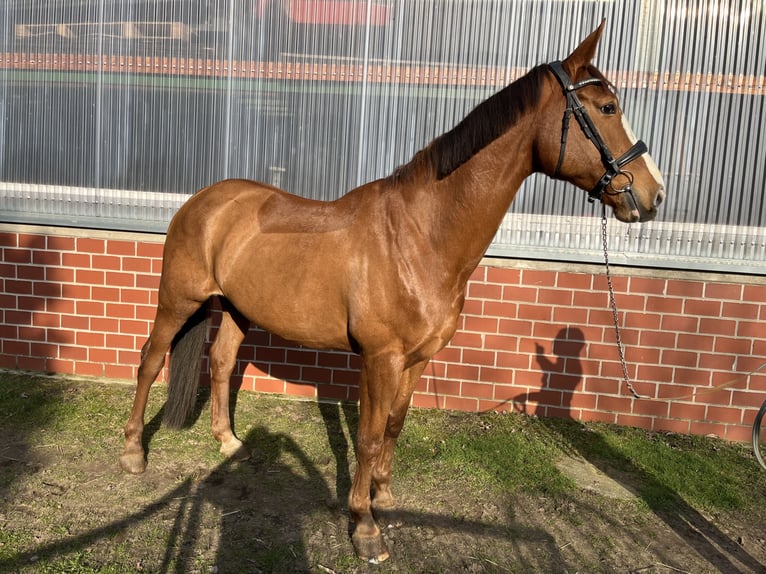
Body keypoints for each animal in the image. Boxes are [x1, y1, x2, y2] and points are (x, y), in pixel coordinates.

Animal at [119, 22, 665, 562]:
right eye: (607, 107)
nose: (653, 193)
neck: (419, 237)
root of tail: (204, 201)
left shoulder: (417, 359)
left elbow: (394, 427)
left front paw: (384, 498)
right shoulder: (380, 359)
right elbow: (367, 435)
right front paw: (364, 527)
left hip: (236, 307)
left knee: (221, 362)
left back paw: (230, 444)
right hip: (177, 301)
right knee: (150, 359)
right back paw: (133, 453)